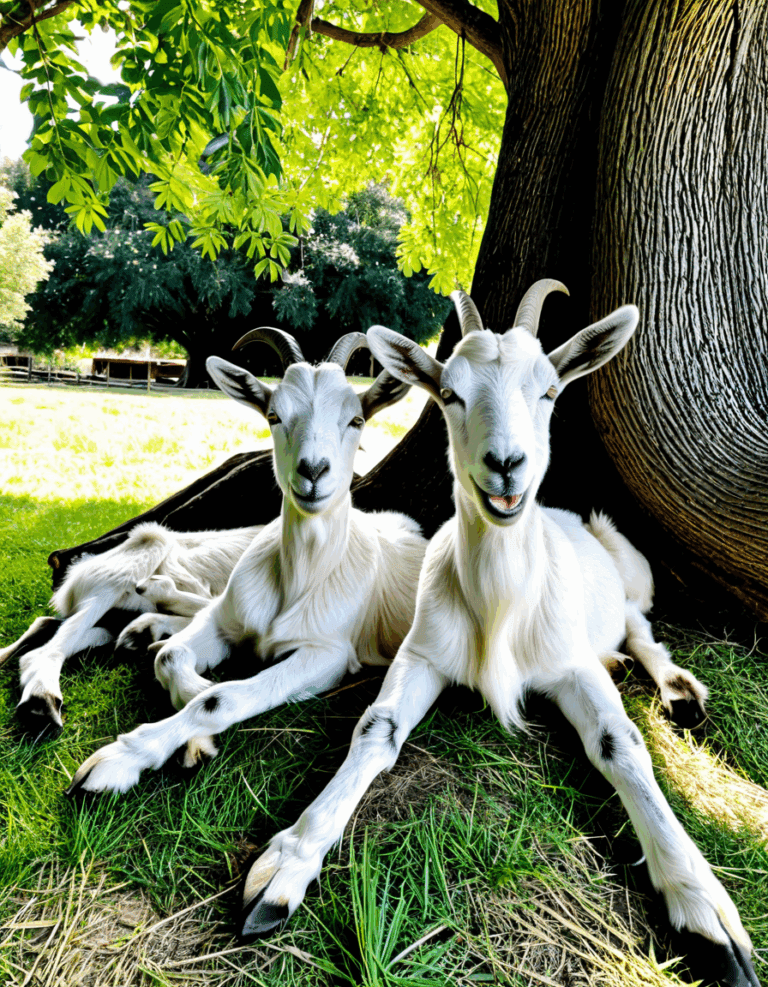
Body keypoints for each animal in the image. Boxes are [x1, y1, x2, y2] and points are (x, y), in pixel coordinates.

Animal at [65, 327, 428, 792]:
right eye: (273, 415)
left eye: (357, 419)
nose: (313, 471)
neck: (302, 578)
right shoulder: (227, 618)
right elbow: (173, 658)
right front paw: (189, 716)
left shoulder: (329, 653)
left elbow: (219, 698)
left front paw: (127, 757)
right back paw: (152, 614)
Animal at [234, 285, 756, 987]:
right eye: (449, 392)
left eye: (549, 389)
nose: (505, 465)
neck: (501, 605)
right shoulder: (423, 651)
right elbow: (375, 729)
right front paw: (288, 862)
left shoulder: (566, 662)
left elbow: (620, 743)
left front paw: (706, 912)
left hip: (625, 561)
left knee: (640, 626)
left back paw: (675, 688)